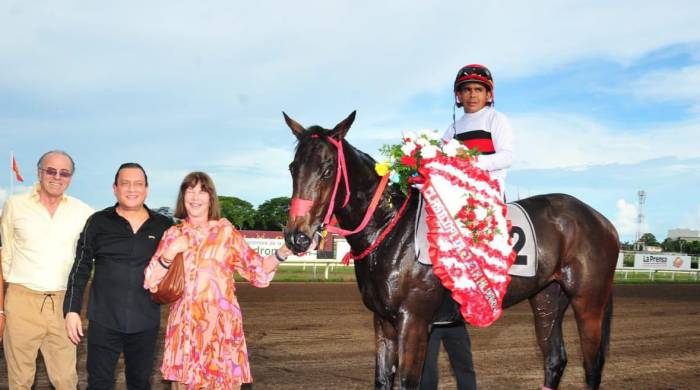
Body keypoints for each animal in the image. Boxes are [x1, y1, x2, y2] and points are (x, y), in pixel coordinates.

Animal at [284, 111, 616, 388]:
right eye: (292, 167)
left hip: (588, 301)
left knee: (592, 367)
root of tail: (602, 220)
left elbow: (407, 382)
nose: (296, 236)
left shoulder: (413, 321)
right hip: (548, 297)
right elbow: (382, 380)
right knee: (555, 359)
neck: (391, 230)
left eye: (328, 170)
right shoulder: (383, 321)